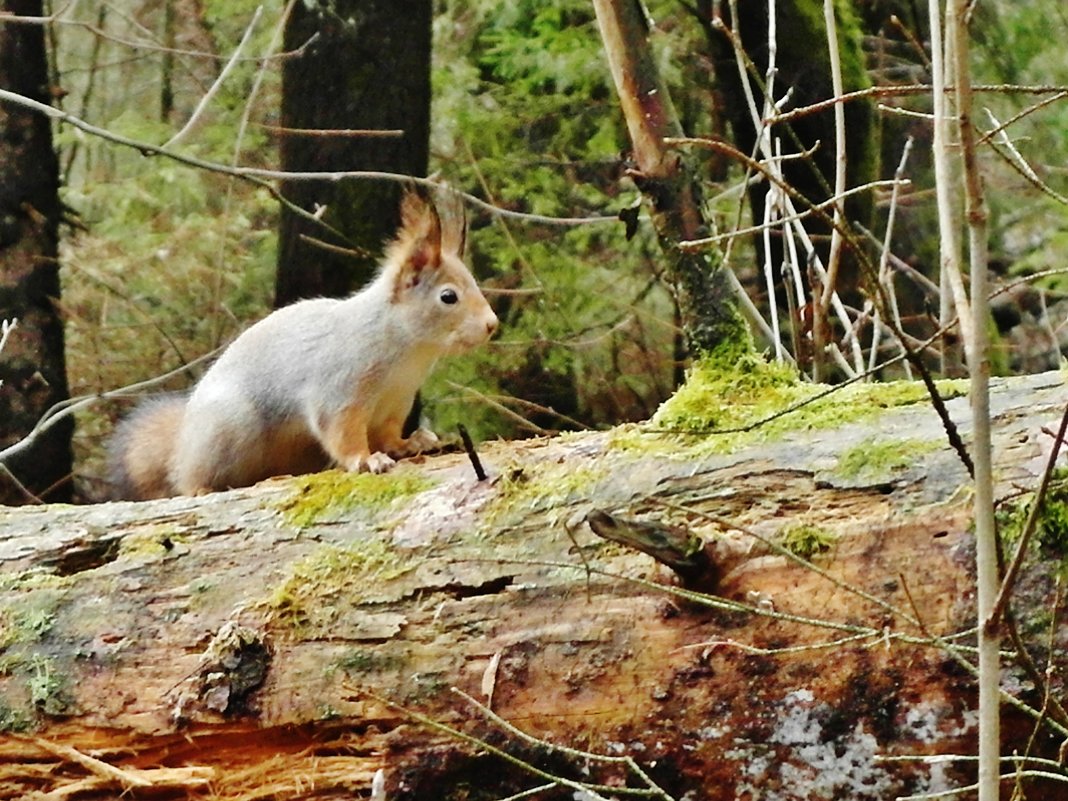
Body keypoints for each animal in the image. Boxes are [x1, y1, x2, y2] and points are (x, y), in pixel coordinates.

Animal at [106, 190, 497, 501]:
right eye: (448, 296)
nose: (492, 325)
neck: (407, 353)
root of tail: (183, 440)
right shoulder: (339, 389)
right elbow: (342, 432)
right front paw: (366, 459)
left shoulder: (395, 404)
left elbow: (388, 434)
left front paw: (410, 443)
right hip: (227, 429)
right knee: (187, 478)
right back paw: (200, 486)